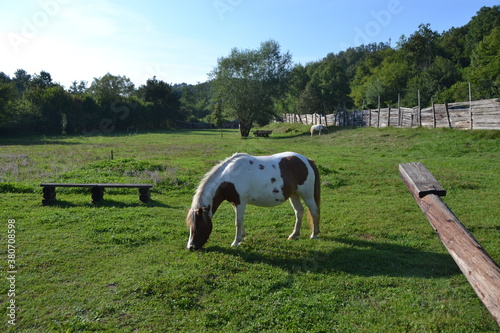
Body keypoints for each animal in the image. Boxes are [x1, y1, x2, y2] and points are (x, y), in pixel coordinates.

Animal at [187, 151, 320, 249]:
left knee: (314, 211)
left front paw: (235, 242)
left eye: (198, 226)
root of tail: (307, 160)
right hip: (294, 194)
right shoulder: (235, 203)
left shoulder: (240, 202)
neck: (231, 177)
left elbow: (238, 221)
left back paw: (314, 234)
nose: (191, 247)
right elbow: (240, 220)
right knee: (299, 212)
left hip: (307, 195)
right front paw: (242, 237)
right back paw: (294, 235)